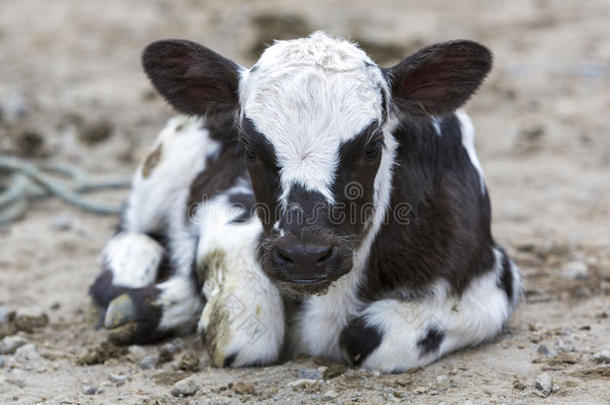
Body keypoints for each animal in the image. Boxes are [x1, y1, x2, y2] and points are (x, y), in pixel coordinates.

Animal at [89, 32, 516, 372]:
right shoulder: (232, 214)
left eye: (373, 144)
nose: (306, 255)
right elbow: (245, 334)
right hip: (164, 163)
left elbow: (364, 338)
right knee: (129, 237)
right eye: (248, 147)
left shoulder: (491, 282)